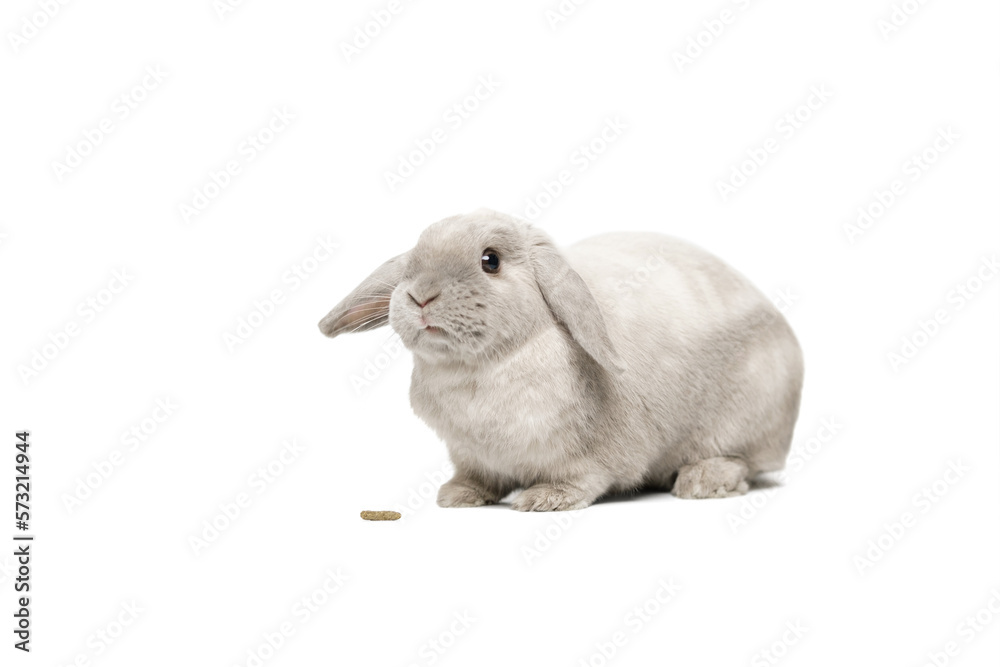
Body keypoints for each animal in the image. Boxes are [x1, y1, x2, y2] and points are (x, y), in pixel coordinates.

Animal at [319, 208, 803, 511]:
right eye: (412, 260)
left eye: (490, 261)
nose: (420, 294)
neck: (478, 368)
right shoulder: (469, 454)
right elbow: (476, 476)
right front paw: (457, 495)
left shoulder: (594, 457)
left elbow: (583, 479)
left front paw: (544, 499)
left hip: (745, 423)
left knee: (745, 461)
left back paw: (702, 482)